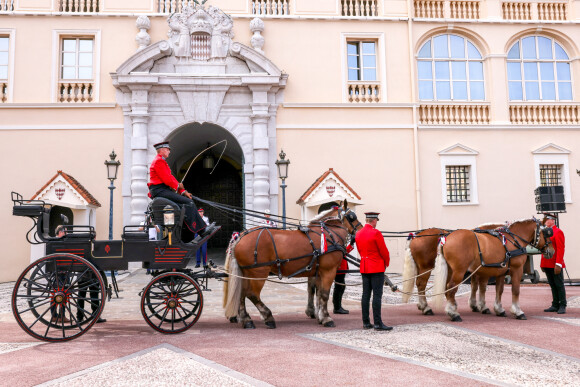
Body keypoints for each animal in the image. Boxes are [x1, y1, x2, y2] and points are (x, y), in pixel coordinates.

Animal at [223, 202, 362, 328]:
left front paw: (319, 315)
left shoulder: (318, 272)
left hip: (246, 273)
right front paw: (326, 318)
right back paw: (268, 317)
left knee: (241, 294)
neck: (327, 235)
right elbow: (324, 294)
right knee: (252, 294)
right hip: (259, 273)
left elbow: (316, 293)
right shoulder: (329, 271)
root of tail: (240, 236)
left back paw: (246, 320)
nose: (361, 230)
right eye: (352, 216)